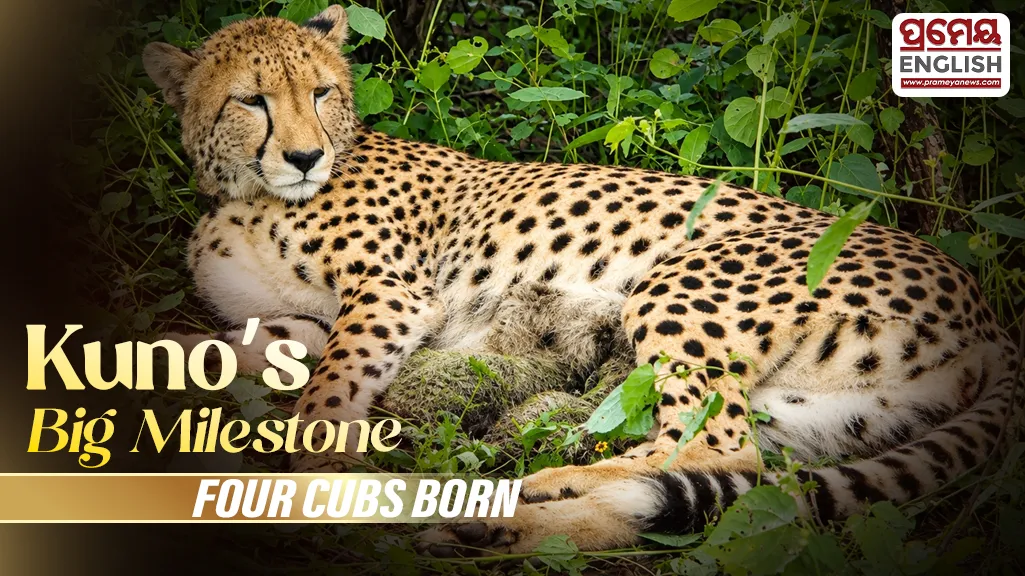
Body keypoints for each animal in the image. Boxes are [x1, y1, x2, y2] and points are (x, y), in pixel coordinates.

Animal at [143, 5, 1021, 555]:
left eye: (321, 92)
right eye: (251, 100)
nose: (304, 156)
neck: (246, 192)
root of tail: (989, 314)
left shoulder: (388, 296)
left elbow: (327, 394)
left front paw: (313, 476)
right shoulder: (304, 322)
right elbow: (201, 346)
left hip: (682, 282)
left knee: (712, 450)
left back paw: (535, 486)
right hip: (818, 413)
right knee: (735, 473)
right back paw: (496, 526)